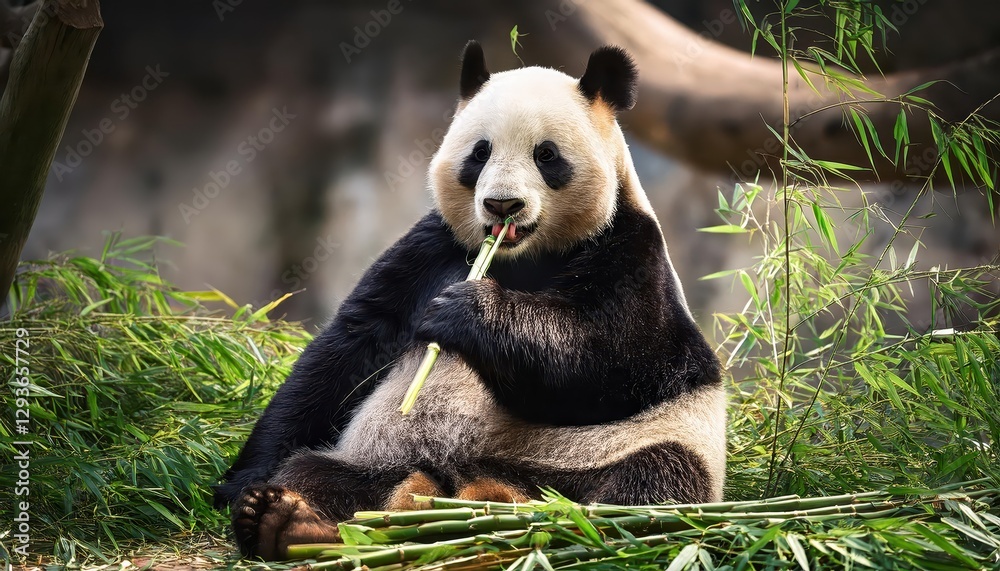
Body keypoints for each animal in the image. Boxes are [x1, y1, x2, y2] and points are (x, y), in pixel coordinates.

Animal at [215, 41, 726, 561]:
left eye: (546, 155)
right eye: (481, 152)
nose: (502, 205)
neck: (521, 257)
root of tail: (473, 486)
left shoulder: (630, 251)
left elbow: (615, 360)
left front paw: (464, 311)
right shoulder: (432, 249)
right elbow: (351, 347)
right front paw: (239, 483)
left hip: (614, 452)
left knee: (652, 481)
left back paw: (579, 529)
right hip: (385, 457)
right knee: (323, 476)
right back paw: (285, 521)